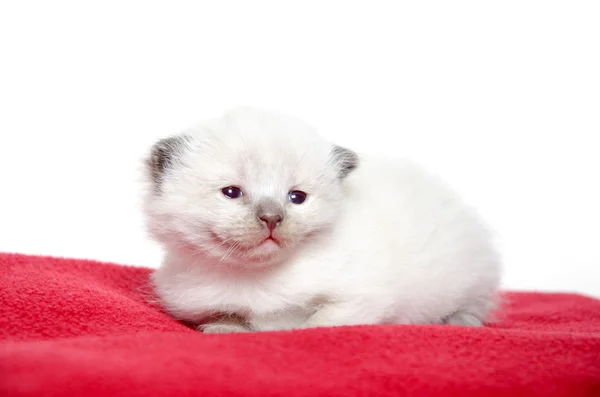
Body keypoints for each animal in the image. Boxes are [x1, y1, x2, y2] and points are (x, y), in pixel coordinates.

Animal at [141, 106, 502, 332]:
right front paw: (224, 328)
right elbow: (229, 318)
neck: (258, 278)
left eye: (297, 197)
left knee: (474, 303)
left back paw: (459, 321)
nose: (271, 218)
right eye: (232, 192)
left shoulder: (361, 296)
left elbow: (318, 324)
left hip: (471, 274)